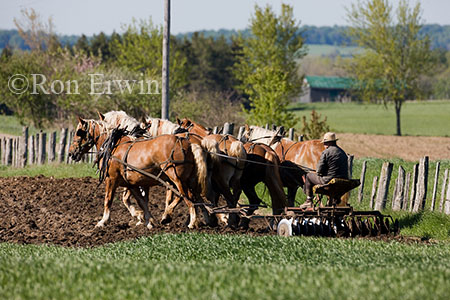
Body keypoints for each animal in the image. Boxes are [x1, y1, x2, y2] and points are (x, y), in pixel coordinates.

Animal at [67, 118, 208, 230]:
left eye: (79, 133)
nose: (71, 153)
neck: (114, 146)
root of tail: (188, 143)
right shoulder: (132, 183)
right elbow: (141, 202)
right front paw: (148, 220)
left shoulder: (111, 179)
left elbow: (108, 199)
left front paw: (103, 221)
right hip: (185, 179)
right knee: (192, 196)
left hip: (176, 178)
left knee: (187, 197)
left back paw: (191, 221)